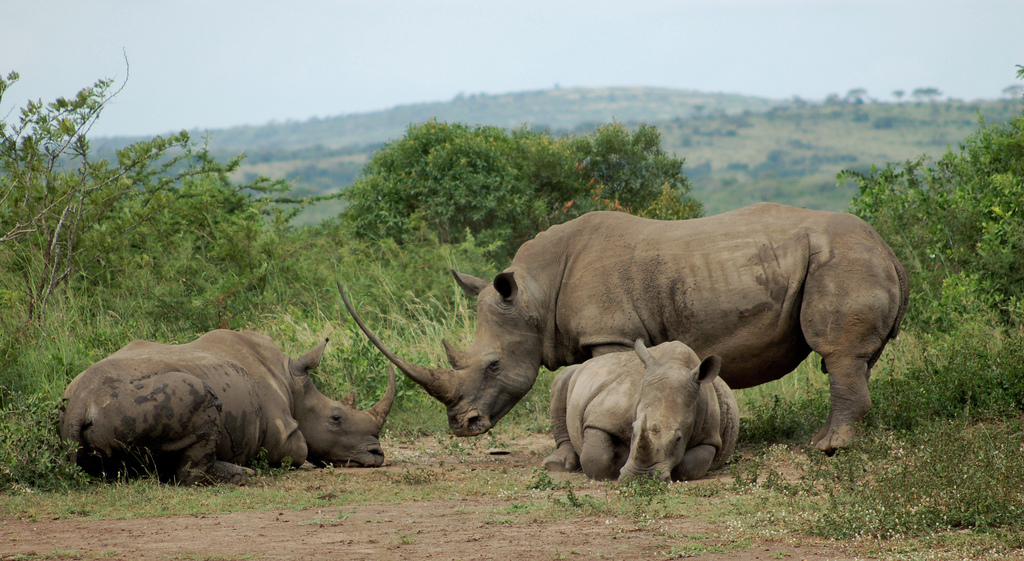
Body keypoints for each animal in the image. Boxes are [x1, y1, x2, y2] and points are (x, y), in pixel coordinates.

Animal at [59, 331, 395, 485]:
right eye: (336, 418)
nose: (376, 454)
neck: (291, 382)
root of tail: (82, 402)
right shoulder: (284, 436)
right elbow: (300, 450)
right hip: (146, 399)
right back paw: (243, 473)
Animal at [544, 337, 737, 481]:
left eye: (678, 439)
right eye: (632, 430)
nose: (641, 477)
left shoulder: (710, 437)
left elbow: (689, 466)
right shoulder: (601, 416)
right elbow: (596, 457)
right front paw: (619, 458)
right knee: (563, 378)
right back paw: (557, 464)